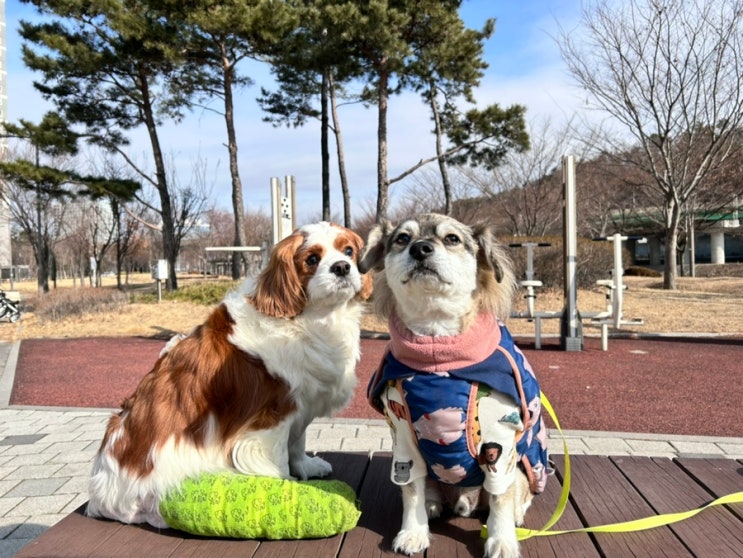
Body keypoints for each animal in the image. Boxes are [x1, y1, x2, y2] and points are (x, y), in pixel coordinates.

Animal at [88, 222, 372, 528]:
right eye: (312, 259)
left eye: (349, 251)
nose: (342, 267)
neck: (311, 318)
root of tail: (99, 495)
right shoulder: (272, 416)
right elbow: (280, 457)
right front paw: (285, 487)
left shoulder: (302, 404)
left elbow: (297, 442)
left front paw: (307, 465)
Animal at [360, 214, 552, 558]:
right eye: (402, 239)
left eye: (452, 239)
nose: (420, 248)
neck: (438, 351)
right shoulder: (403, 437)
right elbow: (411, 491)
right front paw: (413, 532)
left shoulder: (500, 443)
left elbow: (500, 499)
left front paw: (502, 540)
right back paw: (433, 504)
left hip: (522, 464)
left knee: (515, 494)